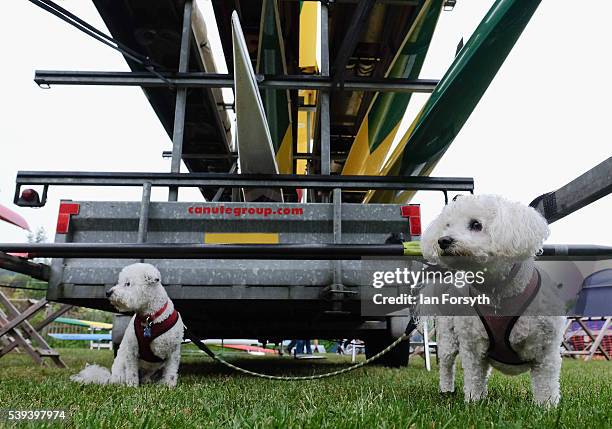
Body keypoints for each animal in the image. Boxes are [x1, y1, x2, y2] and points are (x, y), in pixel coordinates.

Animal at [420, 196, 564, 406]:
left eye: (476, 224)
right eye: (447, 225)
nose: (443, 240)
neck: (497, 294)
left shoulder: (546, 350)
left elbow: (546, 384)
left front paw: (546, 407)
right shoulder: (472, 347)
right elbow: (473, 377)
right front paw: (473, 402)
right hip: (447, 338)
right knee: (447, 366)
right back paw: (446, 390)